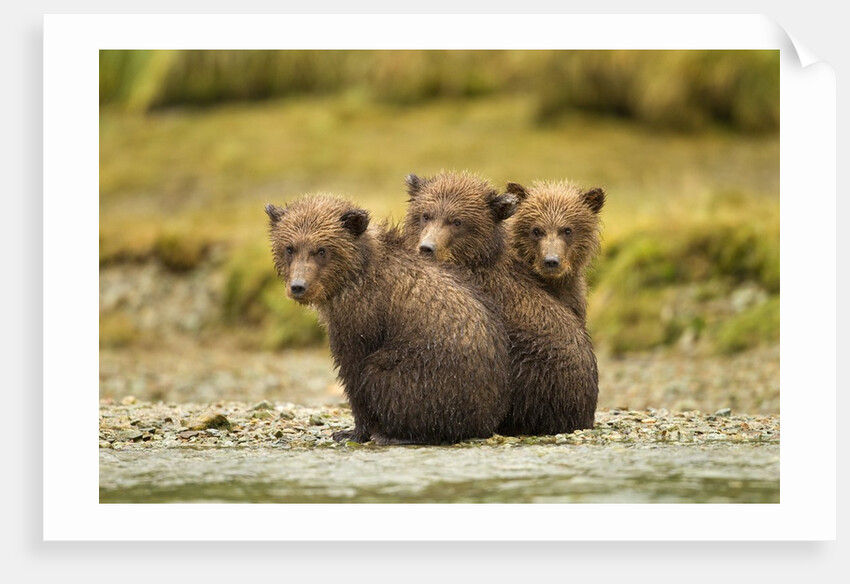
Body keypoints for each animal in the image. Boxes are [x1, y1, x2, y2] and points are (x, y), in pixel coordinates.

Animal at [265, 194, 511, 445]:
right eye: (289, 248)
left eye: (321, 250)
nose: (298, 286)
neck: (351, 277)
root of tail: (488, 420)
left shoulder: (363, 316)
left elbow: (355, 372)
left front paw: (353, 431)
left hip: (433, 371)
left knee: (385, 376)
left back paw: (396, 434)